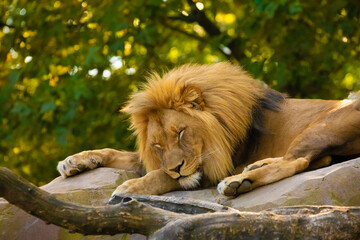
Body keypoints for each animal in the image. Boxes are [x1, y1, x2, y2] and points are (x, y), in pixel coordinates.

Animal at [56, 62, 360, 199]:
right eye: (157, 145)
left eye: (180, 133)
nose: (176, 168)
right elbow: (117, 153)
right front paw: (75, 161)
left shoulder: (218, 164)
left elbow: (164, 177)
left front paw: (131, 187)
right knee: (311, 159)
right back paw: (253, 169)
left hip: (323, 125)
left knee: (295, 161)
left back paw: (239, 182)